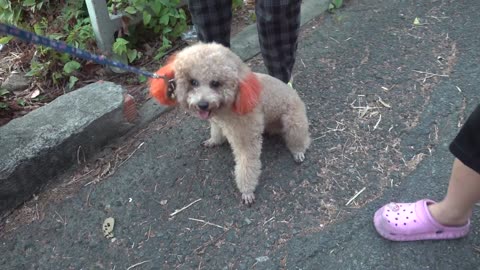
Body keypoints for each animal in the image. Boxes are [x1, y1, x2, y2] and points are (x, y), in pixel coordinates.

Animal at [163, 42, 312, 205]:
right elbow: (216, 132)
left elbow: (246, 163)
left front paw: (247, 191)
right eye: (193, 82)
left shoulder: (246, 135)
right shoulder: (218, 122)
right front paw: (213, 141)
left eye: (215, 83)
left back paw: (298, 151)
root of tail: (294, 93)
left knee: (299, 137)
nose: (202, 105)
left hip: (293, 120)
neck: (231, 102)